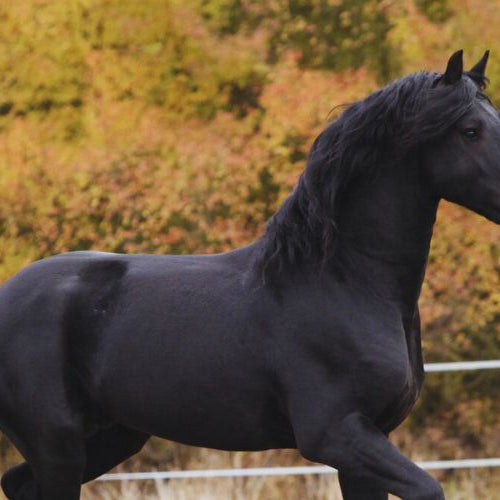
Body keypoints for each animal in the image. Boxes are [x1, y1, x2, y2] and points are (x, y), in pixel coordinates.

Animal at [0, 51, 500, 500]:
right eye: (470, 130)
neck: (345, 282)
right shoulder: (337, 435)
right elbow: (430, 488)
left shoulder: (368, 443)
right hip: (58, 446)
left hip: (111, 436)